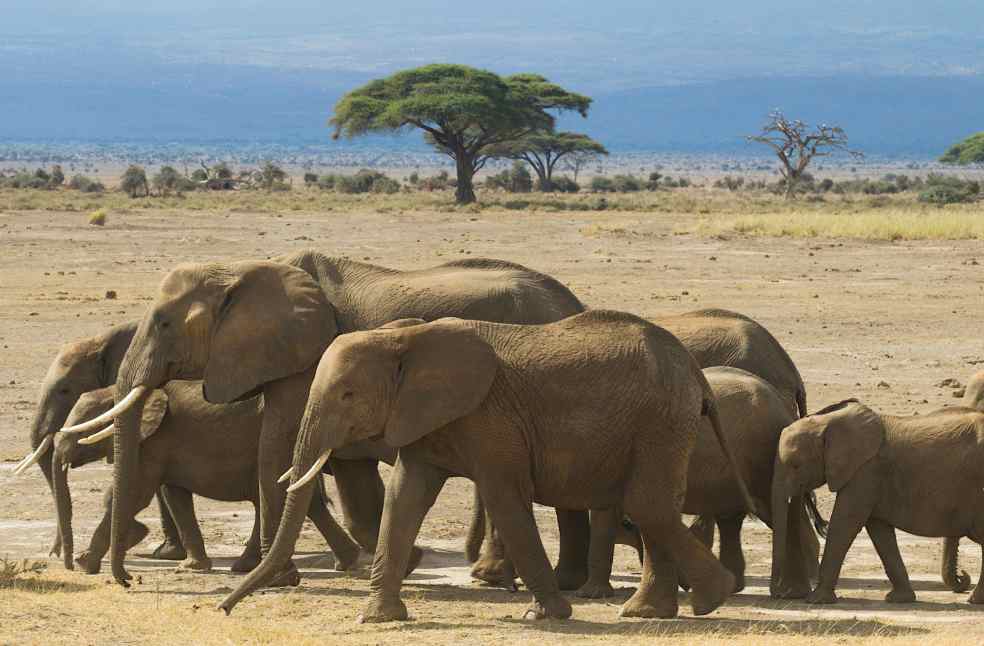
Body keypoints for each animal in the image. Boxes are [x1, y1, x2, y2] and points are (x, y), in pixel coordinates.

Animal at [54, 381, 360, 574]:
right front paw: (191, 567)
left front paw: (85, 564)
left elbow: (136, 492)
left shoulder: (154, 440)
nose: (64, 561)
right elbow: (174, 495)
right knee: (300, 501)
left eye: (84, 424)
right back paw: (345, 562)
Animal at [85, 251, 585, 587]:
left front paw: (277, 579)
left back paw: (499, 576)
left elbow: (278, 450)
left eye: (164, 324)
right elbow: (346, 476)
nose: (128, 580)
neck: (241, 271)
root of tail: (573, 303)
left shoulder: (304, 359)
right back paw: (550, 581)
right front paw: (406, 560)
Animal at [219, 312, 759, 622]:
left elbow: (505, 497)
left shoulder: (490, 419)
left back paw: (710, 599)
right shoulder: (425, 417)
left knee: (646, 504)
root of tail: (696, 374)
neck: (406, 337)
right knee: (653, 507)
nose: (223, 609)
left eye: (348, 395)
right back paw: (652, 613)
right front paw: (377, 619)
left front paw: (544, 617)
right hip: (662, 423)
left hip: (659, 419)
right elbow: (405, 498)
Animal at [575, 367, 819, 600]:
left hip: (762, 458)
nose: (684, 585)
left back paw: (793, 589)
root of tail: (783, 407)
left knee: (777, 513)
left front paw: (590, 595)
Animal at [773, 398, 984, 604]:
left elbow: (844, 525)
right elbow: (879, 531)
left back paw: (974, 601)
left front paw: (816, 600)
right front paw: (898, 599)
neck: (827, 421)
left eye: (796, 465)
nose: (781, 595)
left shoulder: (865, 472)